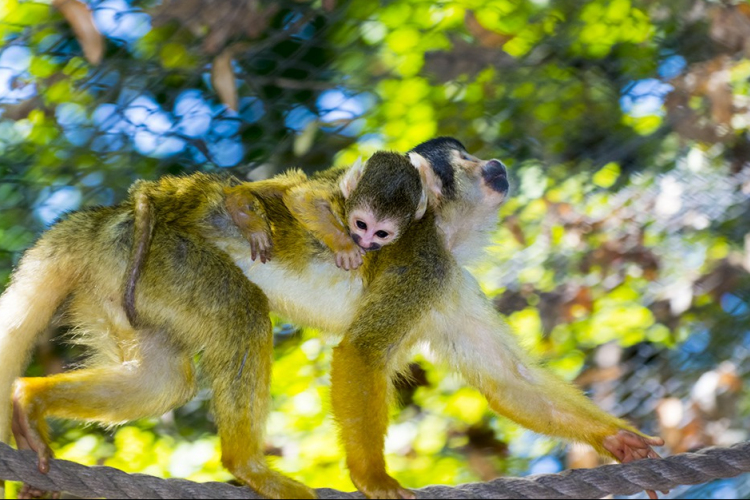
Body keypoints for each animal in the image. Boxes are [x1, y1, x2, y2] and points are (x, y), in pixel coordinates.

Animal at [223, 151, 434, 272]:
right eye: (361, 225)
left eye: (381, 234)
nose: (365, 242)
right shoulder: (335, 190)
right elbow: (302, 197)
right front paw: (346, 247)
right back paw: (240, 205)